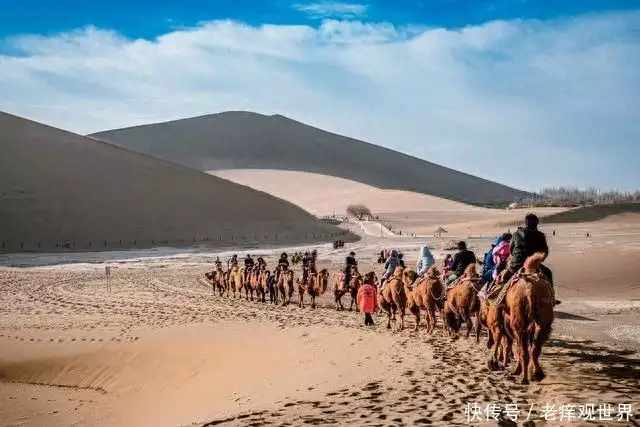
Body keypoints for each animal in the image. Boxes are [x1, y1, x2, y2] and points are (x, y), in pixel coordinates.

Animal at [500, 252, 556, 386]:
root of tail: (530, 291)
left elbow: (517, 347)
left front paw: (516, 370)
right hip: (543, 319)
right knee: (535, 348)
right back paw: (537, 374)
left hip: (519, 322)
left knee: (524, 350)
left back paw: (523, 377)